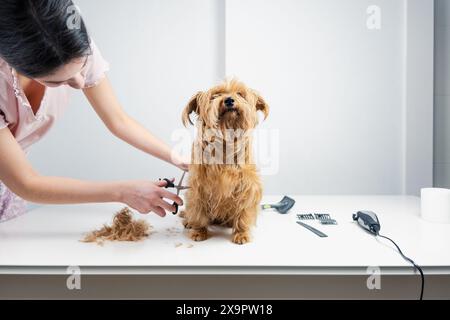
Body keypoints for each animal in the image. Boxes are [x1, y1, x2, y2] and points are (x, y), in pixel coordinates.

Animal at [181, 80, 268, 245]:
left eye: (240, 94)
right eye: (216, 95)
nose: (228, 100)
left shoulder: (247, 185)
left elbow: (243, 211)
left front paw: (241, 233)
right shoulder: (198, 185)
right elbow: (197, 209)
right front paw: (199, 231)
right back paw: (188, 220)